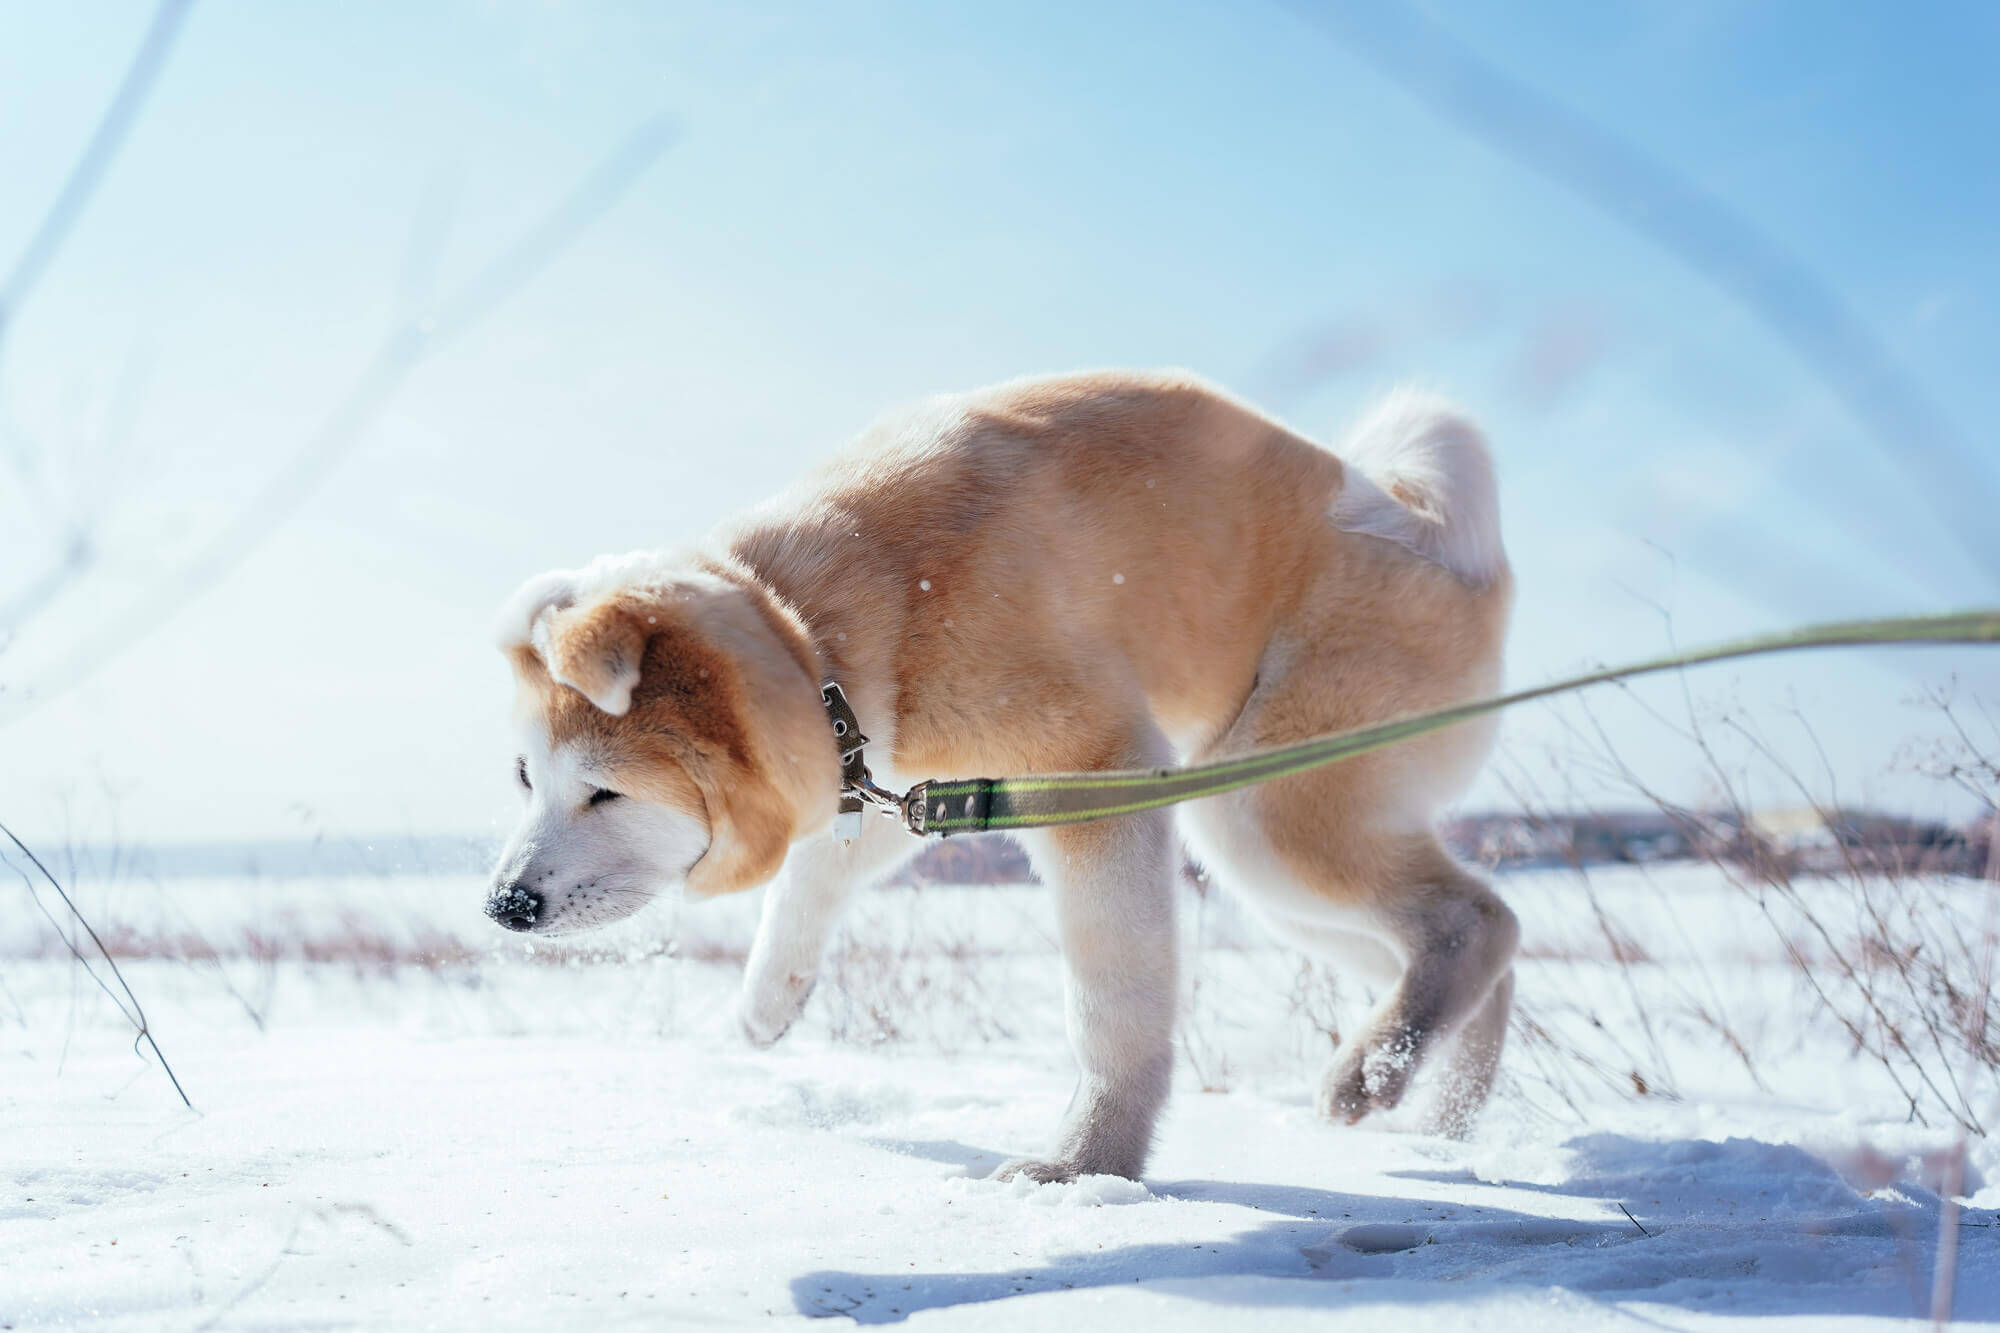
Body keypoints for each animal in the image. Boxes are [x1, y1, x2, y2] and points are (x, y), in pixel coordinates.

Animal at [488, 368, 1512, 1176]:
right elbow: (813, 876)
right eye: (527, 779)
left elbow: (1112, 1006)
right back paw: (1443, 1111)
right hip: (1274, 859)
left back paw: (1375, 1072)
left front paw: (1087, 1163)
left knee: (1475, 919)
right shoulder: (896, 779)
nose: (504, 905)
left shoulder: (1094, 775)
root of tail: (1434, 534)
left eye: (608, 790)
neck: (842, 615)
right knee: (1480, 935)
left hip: (1261, 809)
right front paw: (766, 1003)